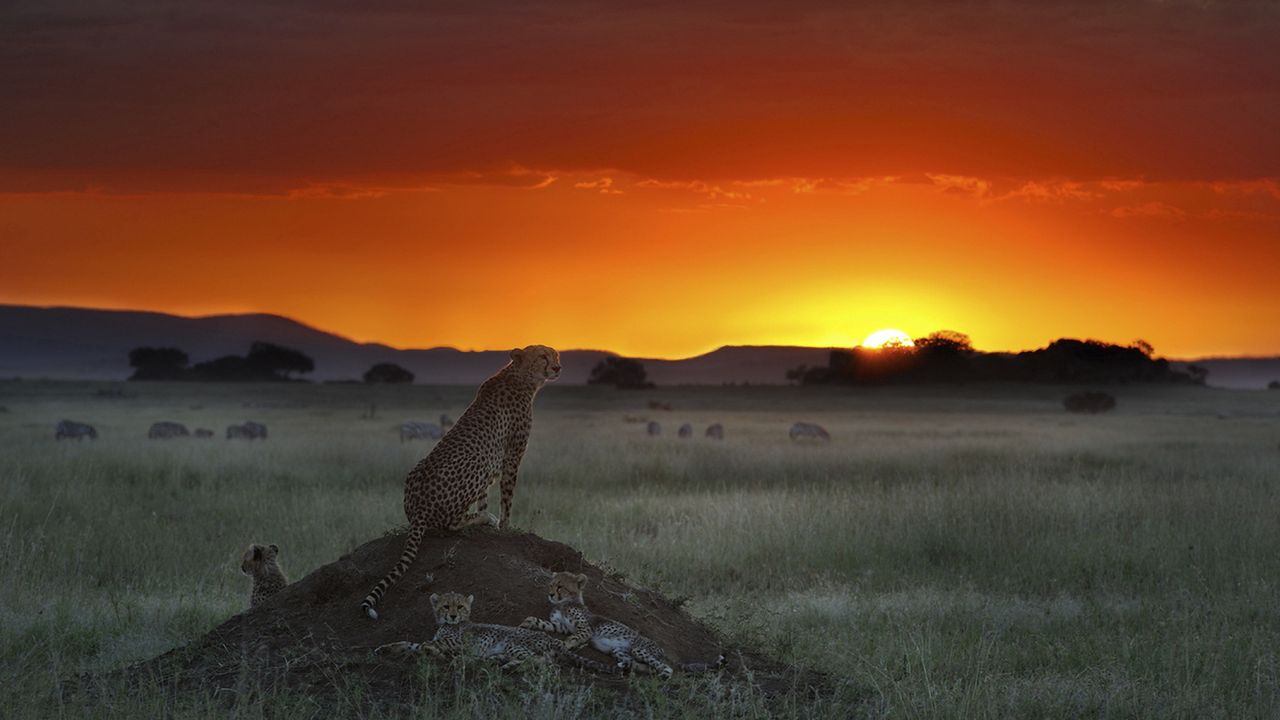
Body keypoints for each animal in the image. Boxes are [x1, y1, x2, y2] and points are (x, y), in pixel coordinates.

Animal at [360, 343, 560, 617]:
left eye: (556, 354)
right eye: (542, 356)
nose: (557, 367)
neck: (520, 377)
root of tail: (419, 509)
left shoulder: (497, 462)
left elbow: (485, 498)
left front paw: (489, 520)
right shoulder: (511, 457)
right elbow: (507, 498)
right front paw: (506, 526)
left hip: (425, 469)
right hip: (477, 460)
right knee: (450, 524)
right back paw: (484, 519)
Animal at [373, 591, 611, 671]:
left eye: (460, 607)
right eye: (446, 606)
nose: (453, 616)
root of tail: (550, 638)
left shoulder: (456, 643)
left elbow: (426, 645)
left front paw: (434, 652)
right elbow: (409, 644)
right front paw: (384, 649)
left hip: (513, 644)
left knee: (543, 662)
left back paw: (509, 666)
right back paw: (492, 661)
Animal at [519, 568, 721, 676]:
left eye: (561, 586)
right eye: (551, 584)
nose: (550, 594)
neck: (564, 603)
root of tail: (663, 650)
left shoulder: (584, 629)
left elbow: (572, 638)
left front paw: (563, 646)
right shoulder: (561, 626)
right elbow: (542, 622)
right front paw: (526, 623)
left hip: (639, 649)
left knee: (666, 668)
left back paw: (664, 675)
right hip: (621, 652)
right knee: (644, 666)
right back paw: (628, 668)